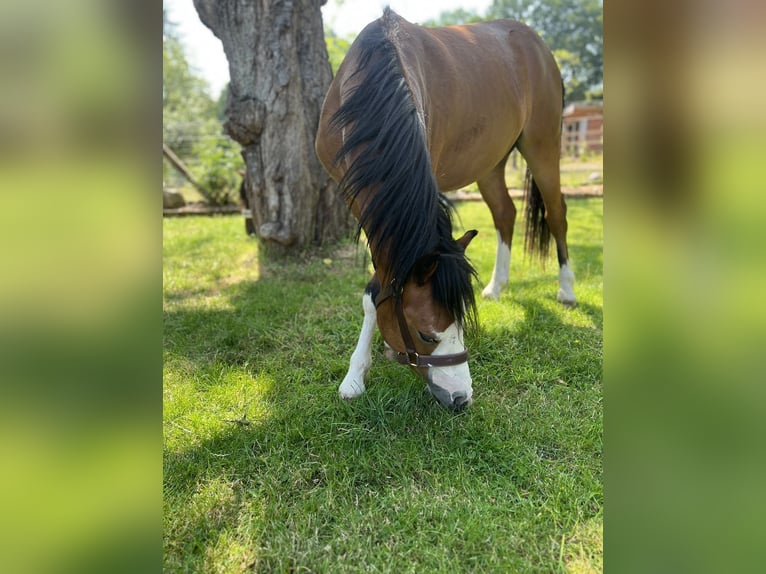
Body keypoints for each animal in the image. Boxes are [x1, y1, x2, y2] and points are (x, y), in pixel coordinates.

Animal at [314, 10, 576, 414]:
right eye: (426, 334)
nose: (461, 398)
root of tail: (536, 43)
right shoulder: (355, 193)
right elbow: (375, 292)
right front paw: (355, 376)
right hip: (490, 162)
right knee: (505, 214)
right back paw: (497, 285)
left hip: (543, 145)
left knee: (557, 214)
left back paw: (566, 289)